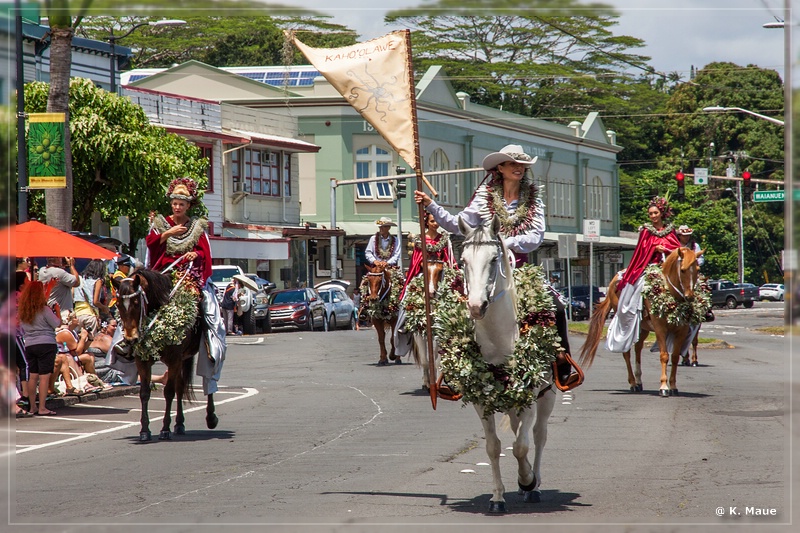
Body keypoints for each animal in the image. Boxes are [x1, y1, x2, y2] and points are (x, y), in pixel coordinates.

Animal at [112, 270, 217, 440]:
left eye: (136, 303)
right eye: (118, 305)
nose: (130, 339)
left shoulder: (174, 360)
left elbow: (168, 392)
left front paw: (165, 429)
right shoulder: (143, 361)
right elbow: (144, 393)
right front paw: (144, 431)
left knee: (208, 380)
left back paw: (211, 418)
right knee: (181, 387)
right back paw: (179, 424)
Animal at [456, 215, 556, 512]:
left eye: (493, 259)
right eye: (463, 261)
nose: (476, 306)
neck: (500, 340)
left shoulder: (531, 397)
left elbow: (521, 446)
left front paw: (527, 480)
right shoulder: (481, 401)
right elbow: (494, 446)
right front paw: (498, 497)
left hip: (547, 396)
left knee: (539, 435)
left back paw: (534, 485)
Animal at [580, 246, 704, 394]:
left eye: (697, 270)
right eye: (683, 270)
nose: (690, 297)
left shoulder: (682, 330)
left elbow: (674, 356)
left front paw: (673, 386)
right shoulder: (660, 329)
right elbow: (664, 356)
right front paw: (664, 387)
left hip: (642, 328)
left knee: (637, 349)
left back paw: (639, 381)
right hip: (625, 323)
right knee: (626, 353)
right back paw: (633, 383)